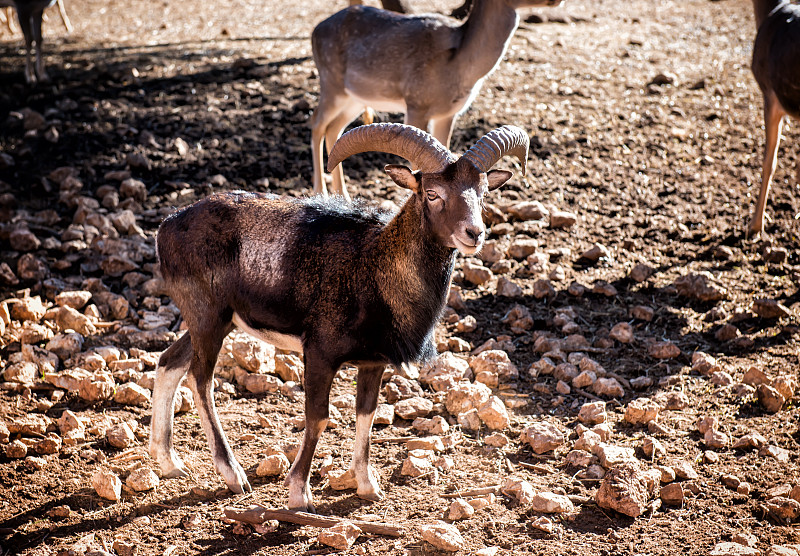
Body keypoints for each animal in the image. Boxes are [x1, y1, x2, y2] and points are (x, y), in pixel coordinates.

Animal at [310, 0, 560, 199]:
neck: (460, 68)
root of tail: (315, 30)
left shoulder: (448, 113)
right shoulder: (416, 103)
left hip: (355, 99)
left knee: (334, 129)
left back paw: (343, 196)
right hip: (331, 83)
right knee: (317, 123)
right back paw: (320, 192)